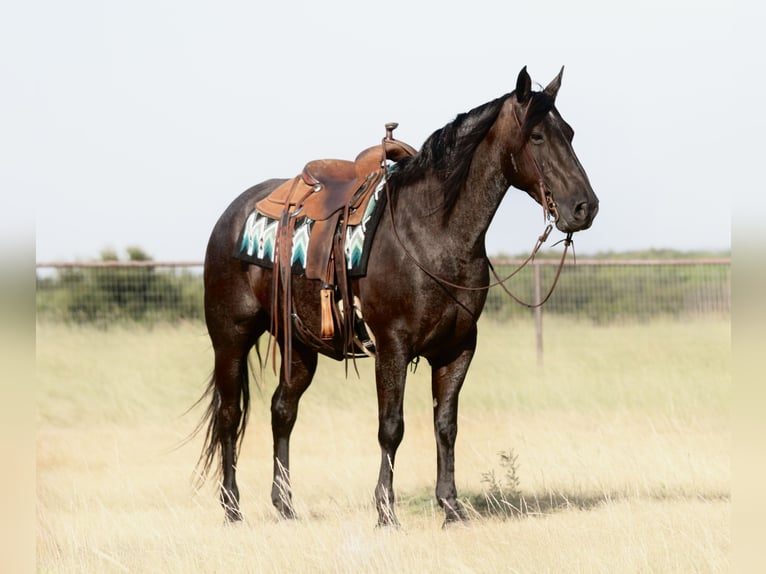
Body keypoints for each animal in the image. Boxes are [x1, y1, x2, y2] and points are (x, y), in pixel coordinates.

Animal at [196, 66, 599, 526]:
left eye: (569, 132)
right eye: (536, 137)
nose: (585, 207)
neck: (433, 234)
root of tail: (232, 216)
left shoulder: (458, 349)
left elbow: (446, 426)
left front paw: (451, 507)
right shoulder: (392, 347)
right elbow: (391, 427)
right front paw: (386, 511)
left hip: (299, 344)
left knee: (282, 410)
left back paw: (285, 505)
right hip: (231, 337)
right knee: (230, 415)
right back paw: (232, 508)